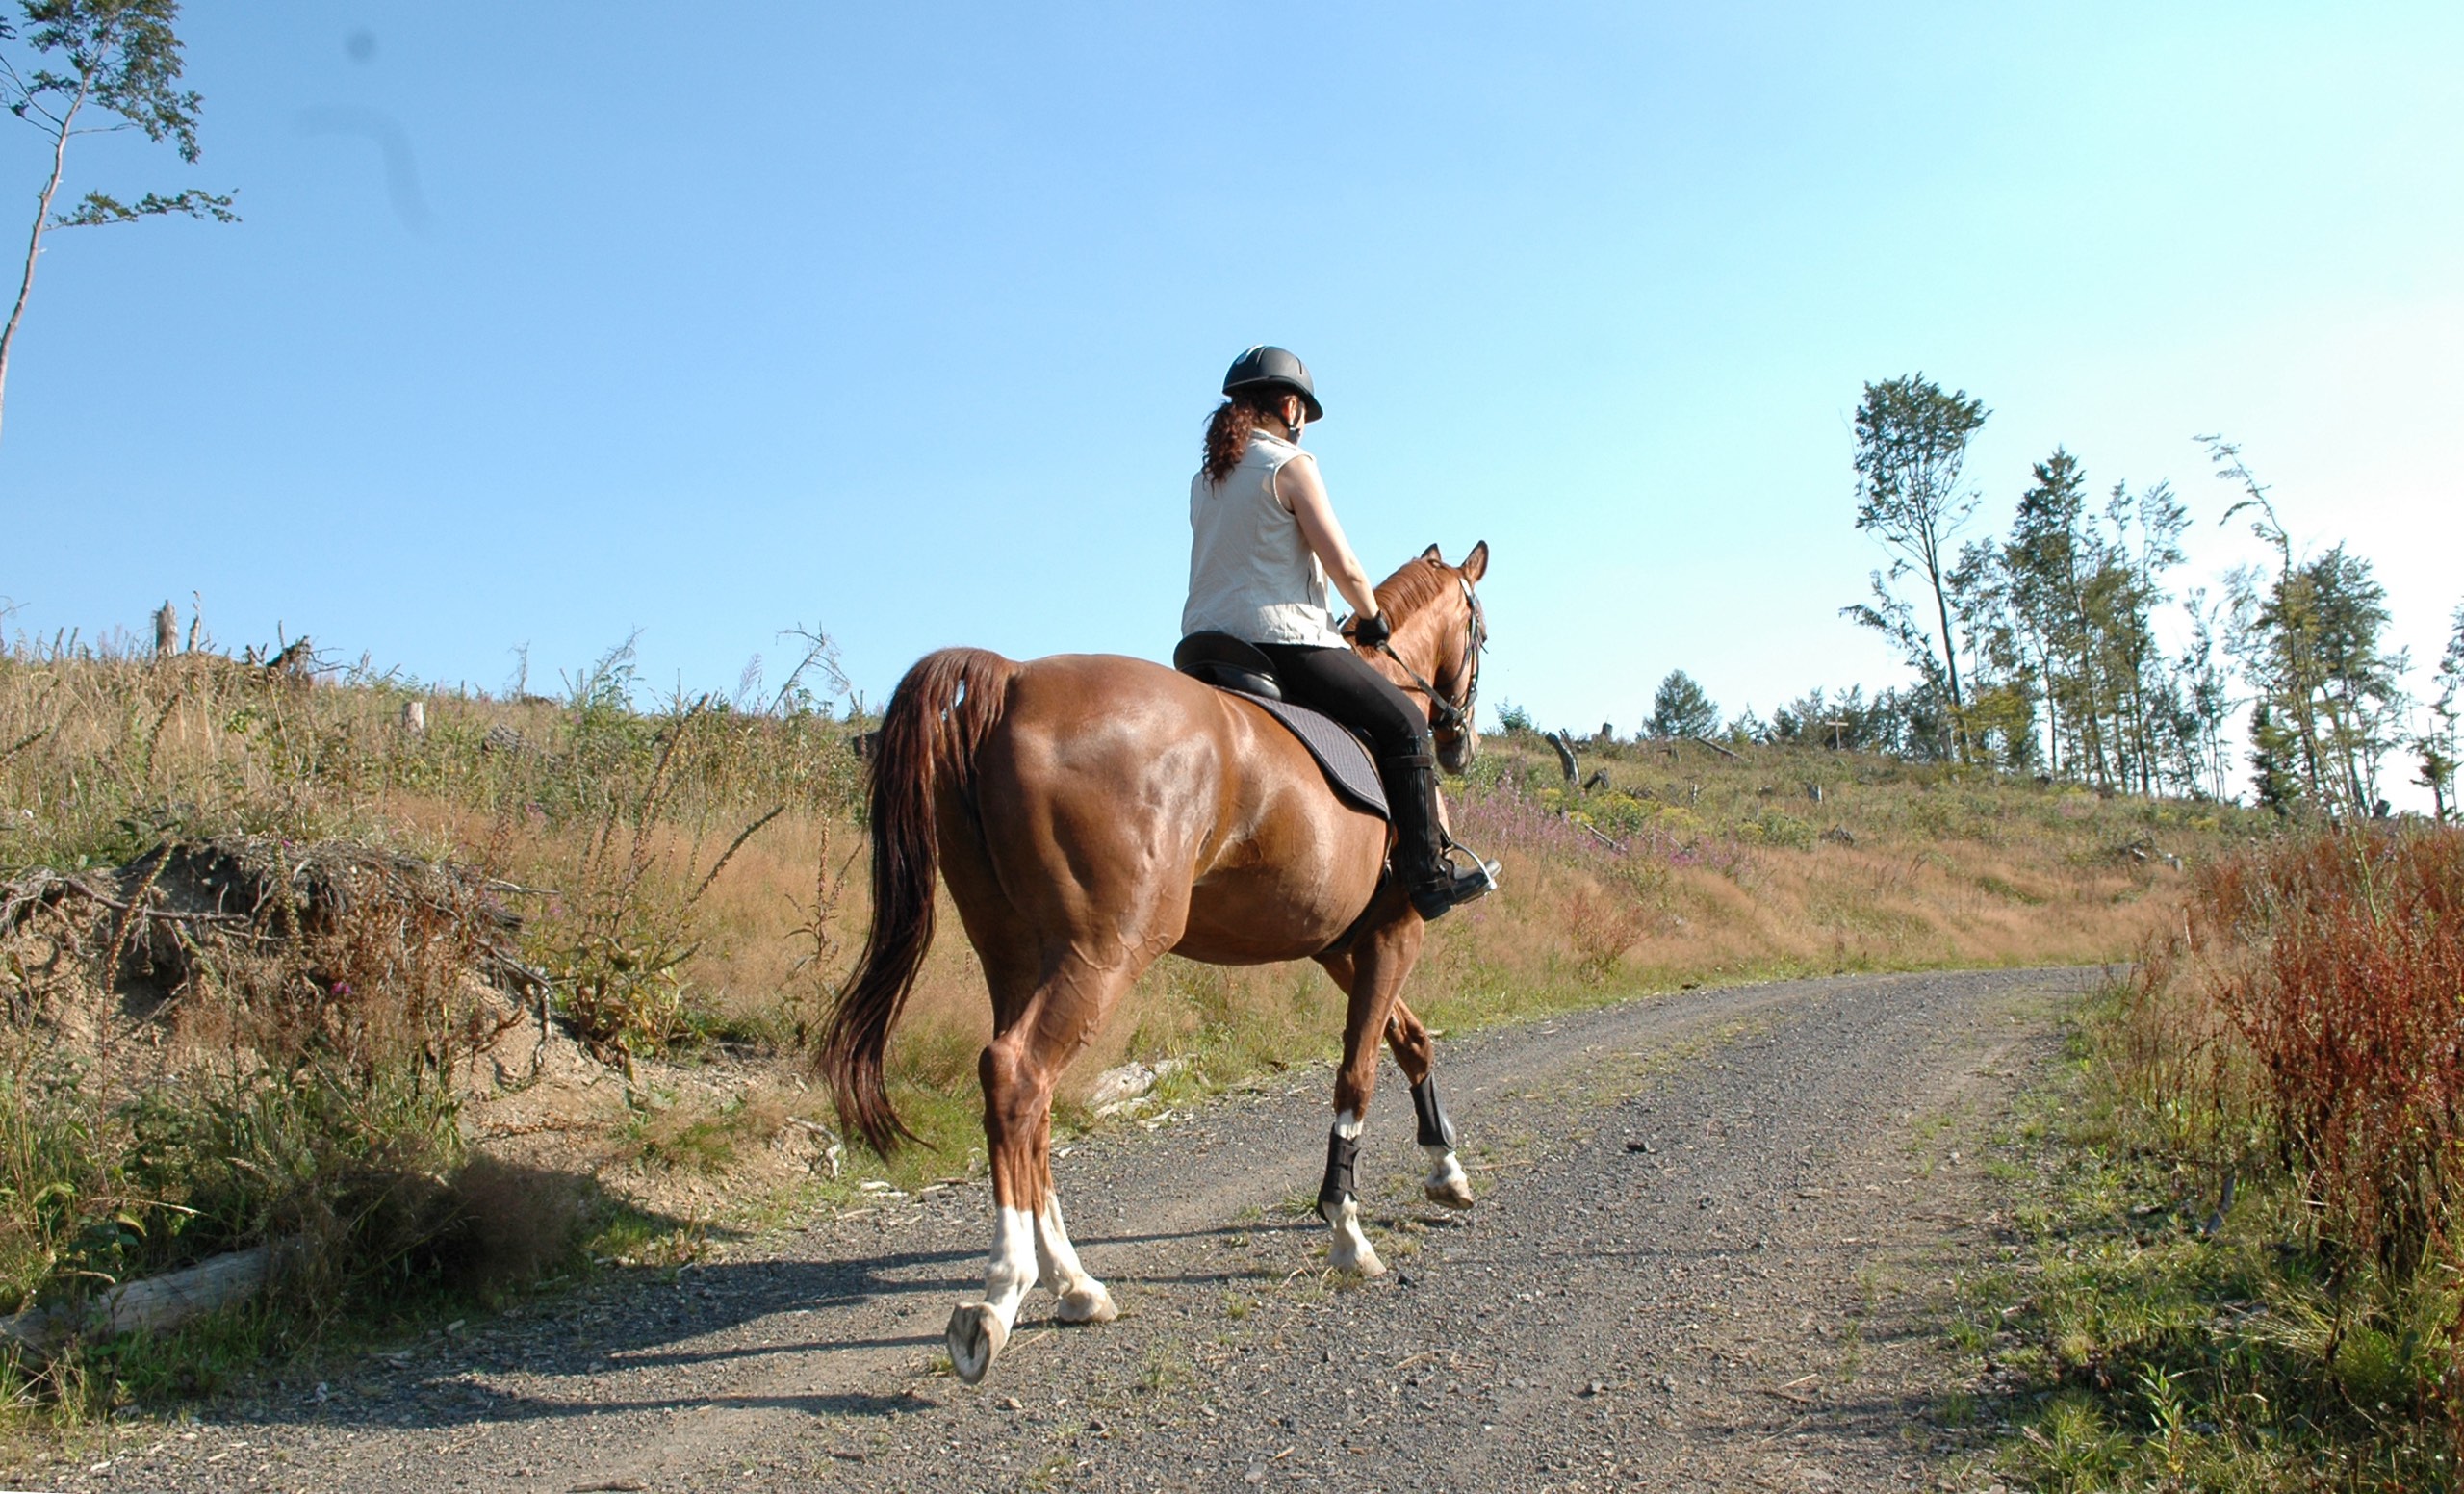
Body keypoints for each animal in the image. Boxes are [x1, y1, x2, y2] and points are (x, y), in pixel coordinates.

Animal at [828, 544, 1488, 1390]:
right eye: (1479, 629)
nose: (1460, 743)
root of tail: (1011, 680)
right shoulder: (1394, 932)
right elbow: (1359, 1072)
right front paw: (1346, 1228)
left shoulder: (1345, 943)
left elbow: (1410, 1043)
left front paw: (1445, 1170)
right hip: (1103, 950)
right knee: (1016, 1075)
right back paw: (1000, 1298)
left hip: (1015, 952)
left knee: (1029, 1101)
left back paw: (1075, 1284)